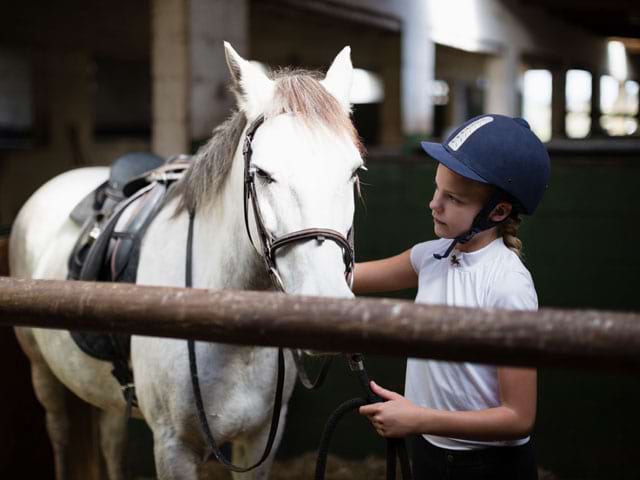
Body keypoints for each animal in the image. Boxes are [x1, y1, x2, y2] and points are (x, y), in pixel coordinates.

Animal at [8, 43, 364, 478]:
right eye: (263, 174)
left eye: (354, 172)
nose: (327, 302)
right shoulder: (173, 448)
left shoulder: (261, 439)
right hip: (43, 375)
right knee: (59, 434)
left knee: (111, 439)